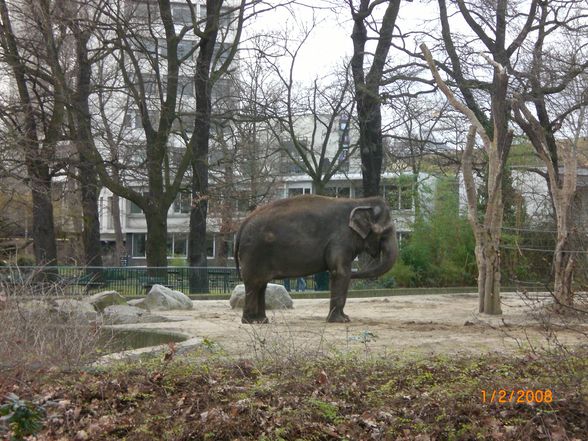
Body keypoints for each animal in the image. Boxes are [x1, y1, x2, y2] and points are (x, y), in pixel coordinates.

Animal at [232, 195, 398, 324]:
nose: (356, 273)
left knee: (261, 285)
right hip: (254, 252)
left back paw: (262, 321)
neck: (360, 201)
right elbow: (340, 272)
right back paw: (251, 321)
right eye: (385, 232)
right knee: (254, 283)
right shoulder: (340, 239)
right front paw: (341, 320)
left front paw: (345, 318)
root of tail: (242, 225)